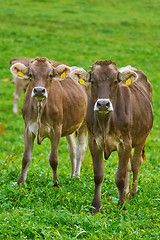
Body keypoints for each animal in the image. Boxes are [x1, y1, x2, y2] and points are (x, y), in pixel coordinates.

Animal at [10, 57, 87, 185]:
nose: (39, 90)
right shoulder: (28, 128)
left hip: (85, 123)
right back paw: (72, 175)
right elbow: (26, 158)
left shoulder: (56, 129)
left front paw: (56, 183)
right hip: (69, 126)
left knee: (80, 149)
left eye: (50, 75)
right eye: (30, 74)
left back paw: (76, 176)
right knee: (72, 149)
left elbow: (53, 158)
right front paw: (20, 182)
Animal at [72, 60, 153, 214]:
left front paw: (121, 206)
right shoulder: (94, 142)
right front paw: (95, 206)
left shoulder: (125, 143)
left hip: (141, 138)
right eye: (92, 81)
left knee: (136, 163)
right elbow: (99, 175)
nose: (103, 104)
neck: (106, 123)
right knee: (129, 166)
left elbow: (120, 176)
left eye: (115, 81)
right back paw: (126, 193)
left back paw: (132, 192)